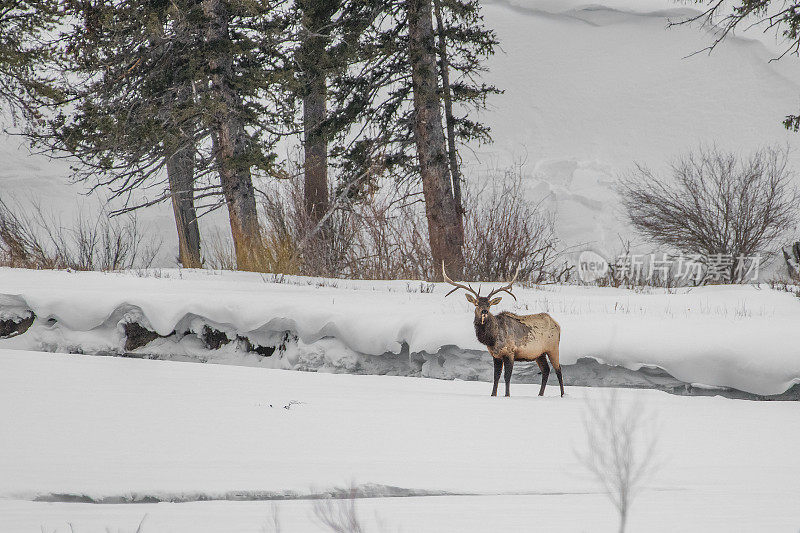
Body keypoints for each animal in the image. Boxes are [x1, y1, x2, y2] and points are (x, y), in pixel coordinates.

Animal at [444, 264, 564, 396]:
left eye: (489, 304)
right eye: (476, 304)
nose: (484, 311)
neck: (492, 339)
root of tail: (557, 324)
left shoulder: (510, 353)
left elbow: (507, 376)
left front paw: (507, 395)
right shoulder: (496, 355)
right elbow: (496, 376)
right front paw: (493, 394)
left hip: (553, 347)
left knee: (558, 369)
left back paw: (563, 394)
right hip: (539, 353)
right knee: (546, 370)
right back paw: (540, 394)